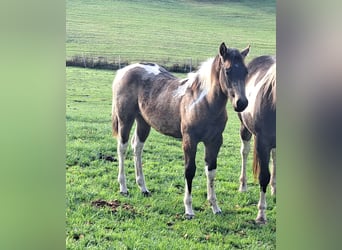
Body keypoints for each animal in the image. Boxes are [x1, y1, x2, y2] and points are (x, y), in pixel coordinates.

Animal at [113, 42, 250, 218]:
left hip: (143, 121)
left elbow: (211, 171)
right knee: (122, 148)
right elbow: (189, 170)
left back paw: (143, 188)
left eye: (246, 71)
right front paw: (189, 209)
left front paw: (215, 207)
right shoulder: (189, 140)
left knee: (137, 147)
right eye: (228, 70)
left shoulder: (215, 141)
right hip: (125, 119)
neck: (202, 102)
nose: (242, 103)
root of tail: (124, 70)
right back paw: (123, 188)